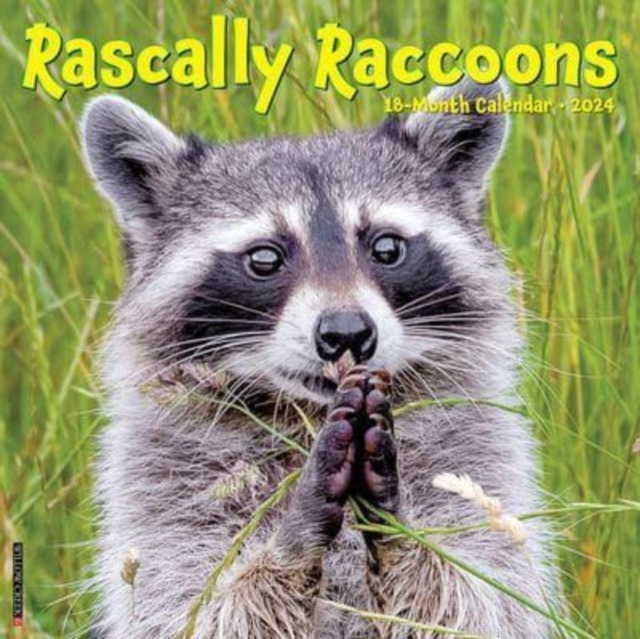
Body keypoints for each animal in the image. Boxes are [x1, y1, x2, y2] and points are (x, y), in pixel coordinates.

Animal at [81, 79, 560, 638]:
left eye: (387, 248)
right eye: (265, 258)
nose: (346, 331)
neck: (304, 412)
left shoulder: (480, 457)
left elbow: (484, 602)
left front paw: (401, 530)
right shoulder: (164, 490)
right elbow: (197, 611)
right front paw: (288, 542)